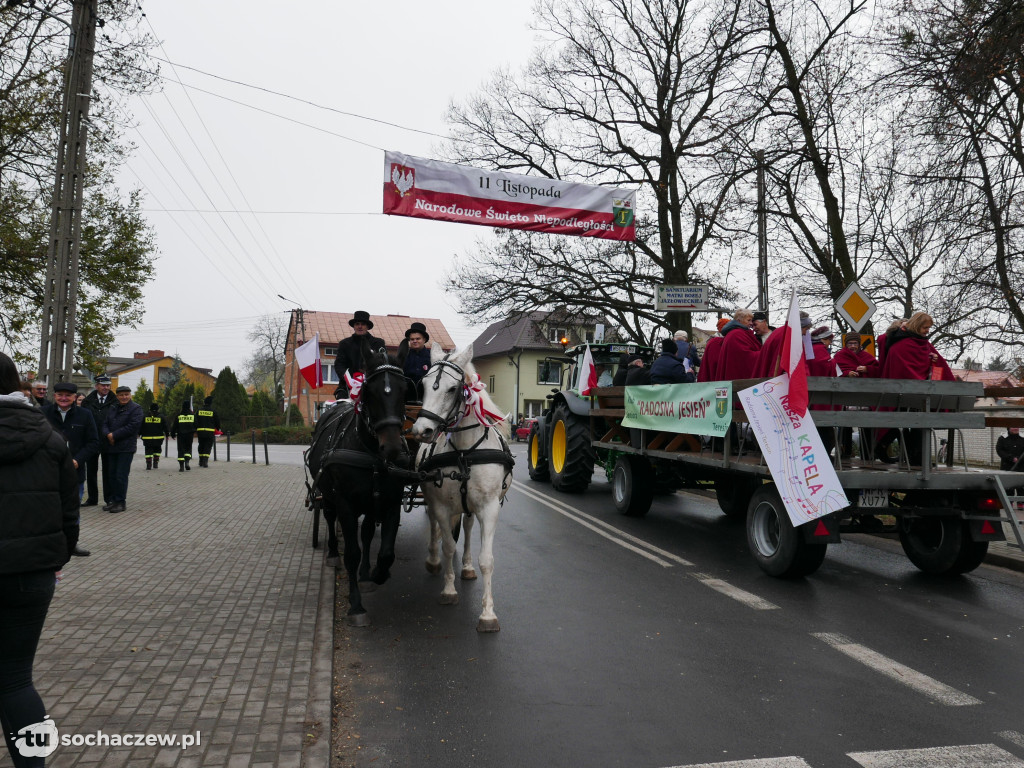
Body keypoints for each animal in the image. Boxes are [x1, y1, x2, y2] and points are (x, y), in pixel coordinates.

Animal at [303, 346, 411, 626]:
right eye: (369, 391)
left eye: (405, 389)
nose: (392, 448)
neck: (370, 451)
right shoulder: (346, 504)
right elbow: (351, 553)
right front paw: (356, 606)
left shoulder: (389, 501)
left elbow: (385, 552)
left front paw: (377, 574)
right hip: (328, 496)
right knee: (330, 519)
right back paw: (332, 552)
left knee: (367, 534)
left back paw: (365, 574)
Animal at [409, 346, 512, 634]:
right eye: (423, 385)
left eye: (453, 389)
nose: (422, 430)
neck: (465, 452)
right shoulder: (442, 506)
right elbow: (447, 546)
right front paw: (448, 590)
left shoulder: (489, 508)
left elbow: (486, 559)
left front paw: (487, 614)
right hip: (431, 497)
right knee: (435, 528)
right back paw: (433, 561)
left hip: (470, 507)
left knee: (466, 528)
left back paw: (465, 567)